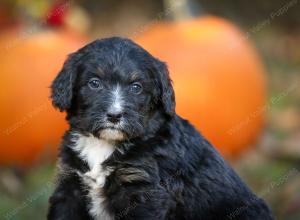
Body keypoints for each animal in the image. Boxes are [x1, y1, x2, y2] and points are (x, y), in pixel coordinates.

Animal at [47, 37, 274, 219]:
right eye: (94, 83)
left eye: (136, 87)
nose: (114, 116)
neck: (103, 144)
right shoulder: (69, 187)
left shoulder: (145, 194)